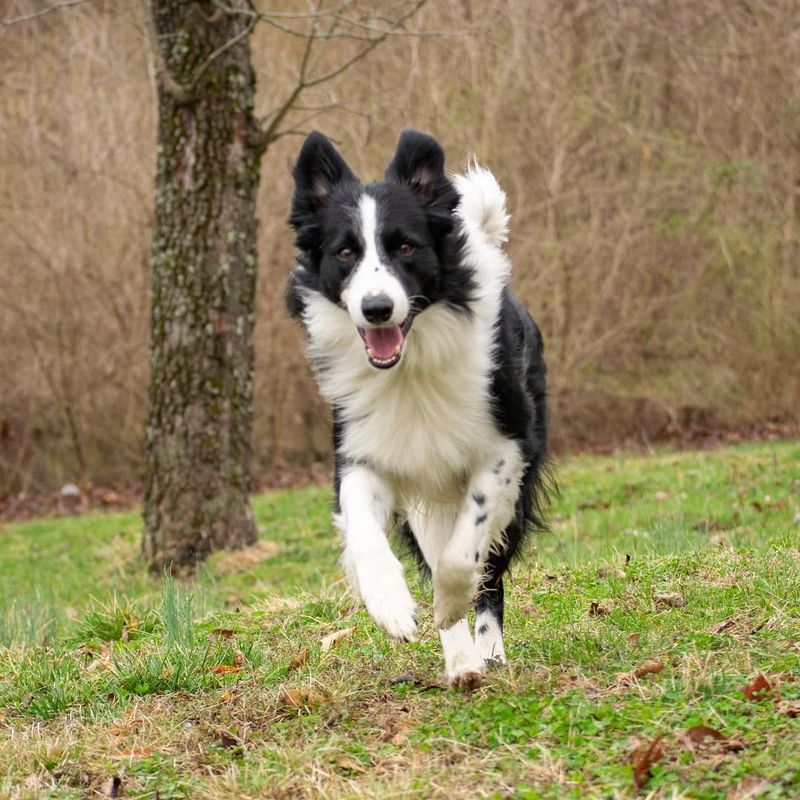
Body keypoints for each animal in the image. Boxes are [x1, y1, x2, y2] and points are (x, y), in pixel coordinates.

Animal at [288, 131, 552, 688]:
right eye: (345, 252)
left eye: (405, 246)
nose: (377, 309)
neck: (407, 368)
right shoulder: (363, 450)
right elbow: (365, 529)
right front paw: (391, 605)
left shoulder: (507, 445)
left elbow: (465, 549)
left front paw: (451, 601)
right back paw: (462, 660)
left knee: (488, 571)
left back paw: (486, 648)